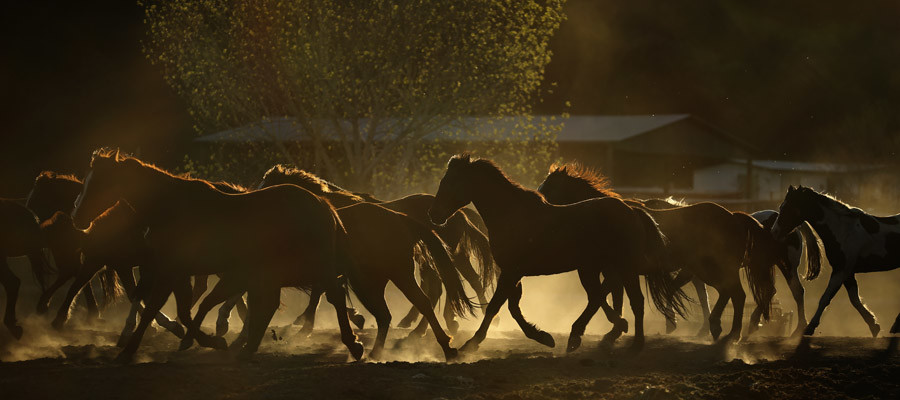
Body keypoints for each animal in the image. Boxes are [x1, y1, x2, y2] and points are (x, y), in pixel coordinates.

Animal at [72, 151, 364, 362]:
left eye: (99, 182)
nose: (77, 216)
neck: (173, 208)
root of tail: (324, 206)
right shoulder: (175, 271)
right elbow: (182, 309)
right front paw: (205, 339)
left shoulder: (170, 270)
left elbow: (161, 308)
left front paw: (130, 349)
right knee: (279, 302)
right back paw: (247, 348)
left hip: (309, 266)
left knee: (334, 295)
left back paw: (353, 343)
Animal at [426, 155, 684, 352]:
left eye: (451, 183)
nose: (434, 214)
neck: (511, 215)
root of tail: (632, 211)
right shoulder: (513, 273)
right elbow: (512, 308)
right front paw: (543, 337)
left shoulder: (511, 272)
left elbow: (495, 307)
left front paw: (471, 344)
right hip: (593, 268)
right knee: (599, 297)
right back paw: (585, 335)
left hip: (623, 267)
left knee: (633, 301)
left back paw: (633, 343)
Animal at [536, 164, 776, 346]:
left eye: (550, 188)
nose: (539, 208)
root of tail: (734, 217)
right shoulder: (615, 273)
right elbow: (613, 299)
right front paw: (615, 331)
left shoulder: (616, 272)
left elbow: (601, 297)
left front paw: (614, 328)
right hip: (705, 270)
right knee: (728, 293)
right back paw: (716, 327)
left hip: (712, 269)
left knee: (736, 295)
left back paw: (730, 334)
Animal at [768, 186, 900, 336]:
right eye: (781, 206)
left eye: (789, 208)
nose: (774, 232)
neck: (843, 230)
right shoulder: (847, 273)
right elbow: (855, 300)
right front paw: (874, 326)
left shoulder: (840, 271)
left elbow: (825, 298)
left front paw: (810, 327)